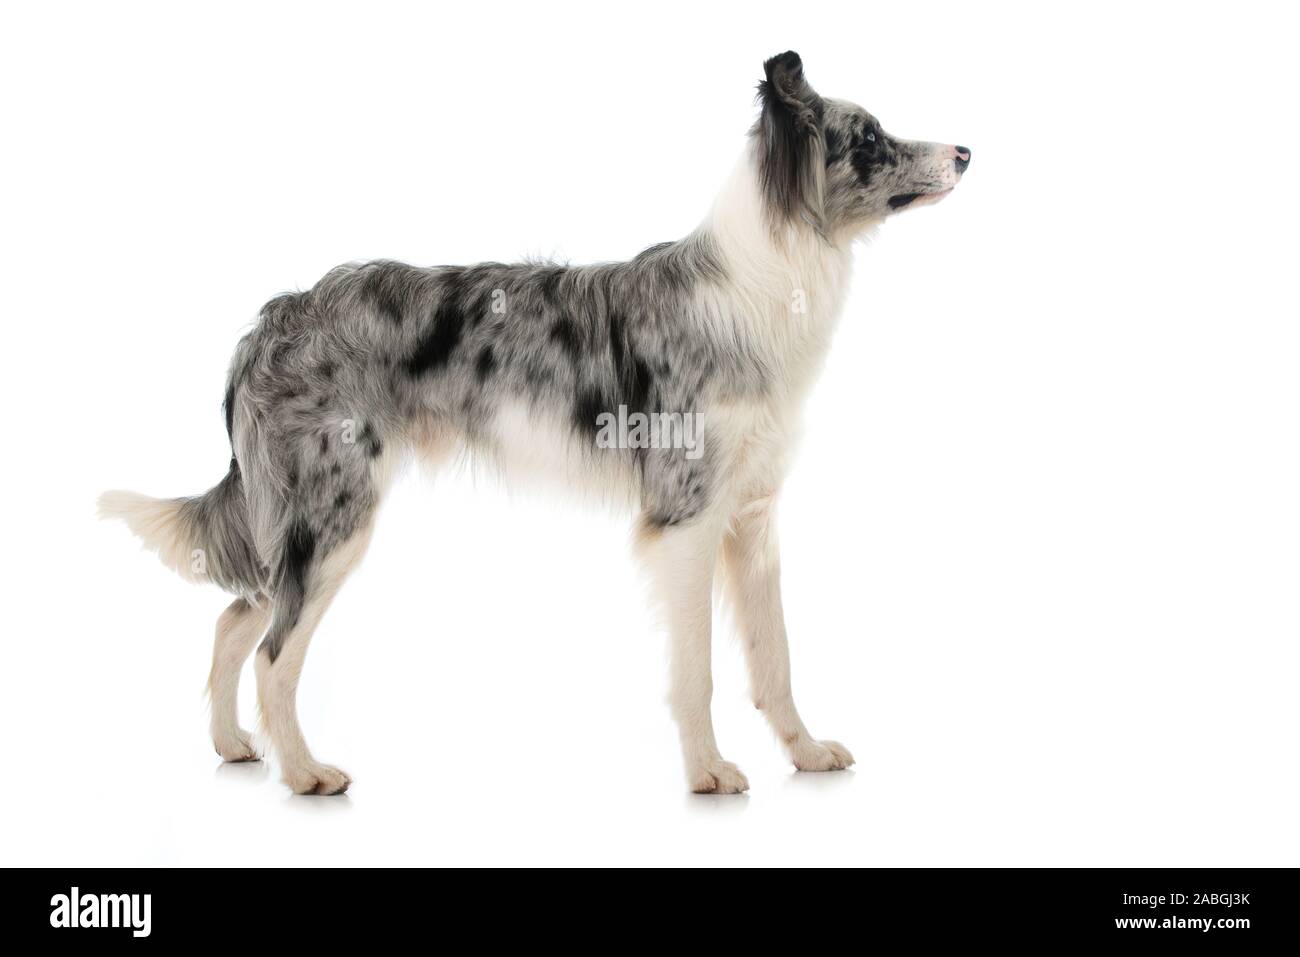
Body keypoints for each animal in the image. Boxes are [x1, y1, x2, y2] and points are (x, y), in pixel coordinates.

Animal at [101, 50, 972, 790]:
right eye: (869, 137)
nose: (965, 151)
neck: (770, 276)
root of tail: (270, 320)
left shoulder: (752, 517)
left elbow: (776, 658)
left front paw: (806, 752)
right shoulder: (685, 518)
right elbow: (696, 670)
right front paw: (707, 771)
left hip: (289, 515)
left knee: (235, 615)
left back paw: (233, 744)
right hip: (332, 514)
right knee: (273, 653)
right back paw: (306, 771)